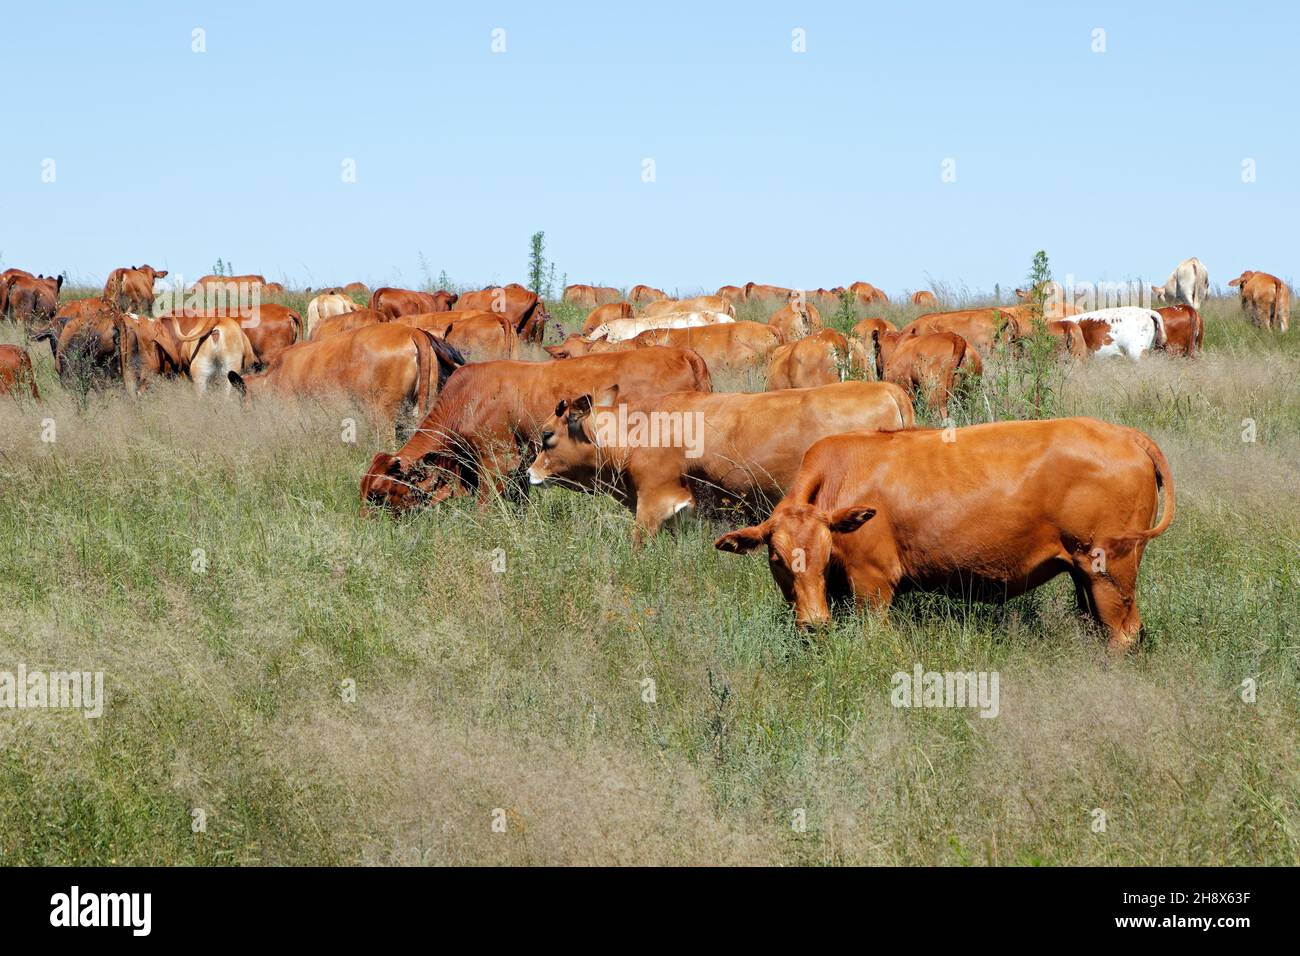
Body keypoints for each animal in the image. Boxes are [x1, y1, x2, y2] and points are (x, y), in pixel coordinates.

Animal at [717, 421, 1175, 658]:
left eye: (827, 550)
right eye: (776, 559)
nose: (813, 623)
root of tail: (1122, 433)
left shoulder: (872, 583)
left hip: (1110, 572)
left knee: (1124, 632)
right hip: (1086, 574)